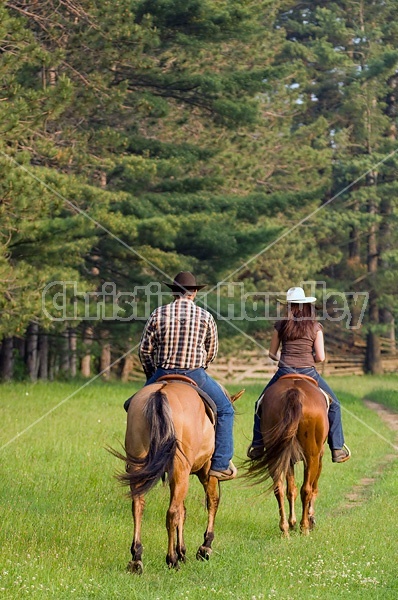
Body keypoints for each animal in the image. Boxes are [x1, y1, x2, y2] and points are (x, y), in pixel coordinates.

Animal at [108, 378, 243, 576]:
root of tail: (160, 394)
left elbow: (183, 511)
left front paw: (182, 552)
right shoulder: (206, 473)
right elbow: (212, 502)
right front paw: (204, 547)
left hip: (141, 466)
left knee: (138, 506)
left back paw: (137, 558)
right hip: (182, 470)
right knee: (171, 512)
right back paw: (171, 559)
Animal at [246, 378, 330, 536]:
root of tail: (294, 392)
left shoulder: (288, 460)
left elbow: (291, 490)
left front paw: (292, 522)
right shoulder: (319, 457)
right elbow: (312, 488)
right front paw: (310, 518)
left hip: (277, 455)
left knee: (279, 488)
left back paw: (285, 528)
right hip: (312, 456)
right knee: (306, 489)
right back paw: (304, 528)